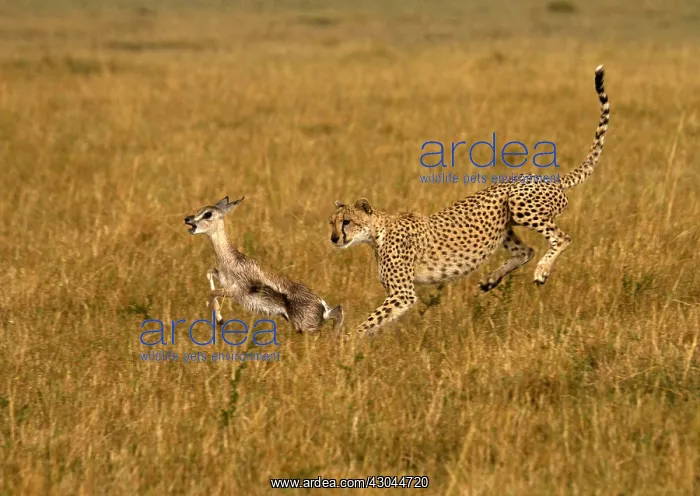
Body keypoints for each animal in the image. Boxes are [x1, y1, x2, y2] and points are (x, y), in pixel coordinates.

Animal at [328, 65, 610, 336]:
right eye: (332, 223)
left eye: (347, 222)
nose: (334, 238)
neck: (376, 233)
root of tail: (549, 178)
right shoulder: (397, 293)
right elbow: (375, 323)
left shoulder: (402, 294)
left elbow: (367, 323)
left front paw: (344, 343)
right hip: (503, 224)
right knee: (526, 250)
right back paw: (491, 279)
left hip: (519, 204)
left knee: (562, 238)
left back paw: (541, 271)